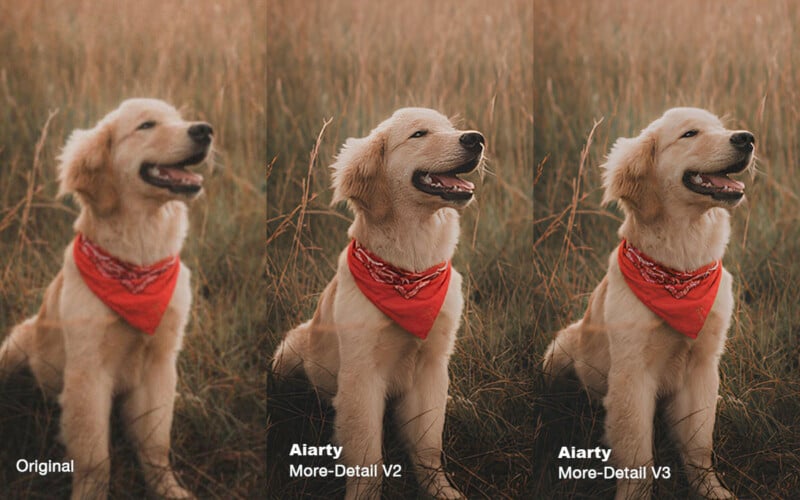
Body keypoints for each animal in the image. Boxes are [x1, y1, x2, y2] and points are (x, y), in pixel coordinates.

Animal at [0, 98, 212, 500]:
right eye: (146, 125)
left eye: (179, 119)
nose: (205, 130)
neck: (137, 264)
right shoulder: (88, 372)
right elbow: (94, 455)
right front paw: (91, 493)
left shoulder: (160, 362)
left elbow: (155, 441)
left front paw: (168, 488)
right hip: (16, 345)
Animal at [272, 107, 484, 498]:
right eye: (419, 134)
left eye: (451, 127)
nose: (476, 139)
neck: (409, 272)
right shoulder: (361, 375)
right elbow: (367, 453)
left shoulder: (432, 364)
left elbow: (428, 443)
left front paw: (441, 489)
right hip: (288, 353)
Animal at [540, 107, 752, 498]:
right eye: (690, 134)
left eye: (721, 127)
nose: (746, 138)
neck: (680, 269)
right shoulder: (632, 373)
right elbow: (638, 453)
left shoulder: (703, 364)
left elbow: (699, 442)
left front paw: (711, 488)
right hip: (560, 351)